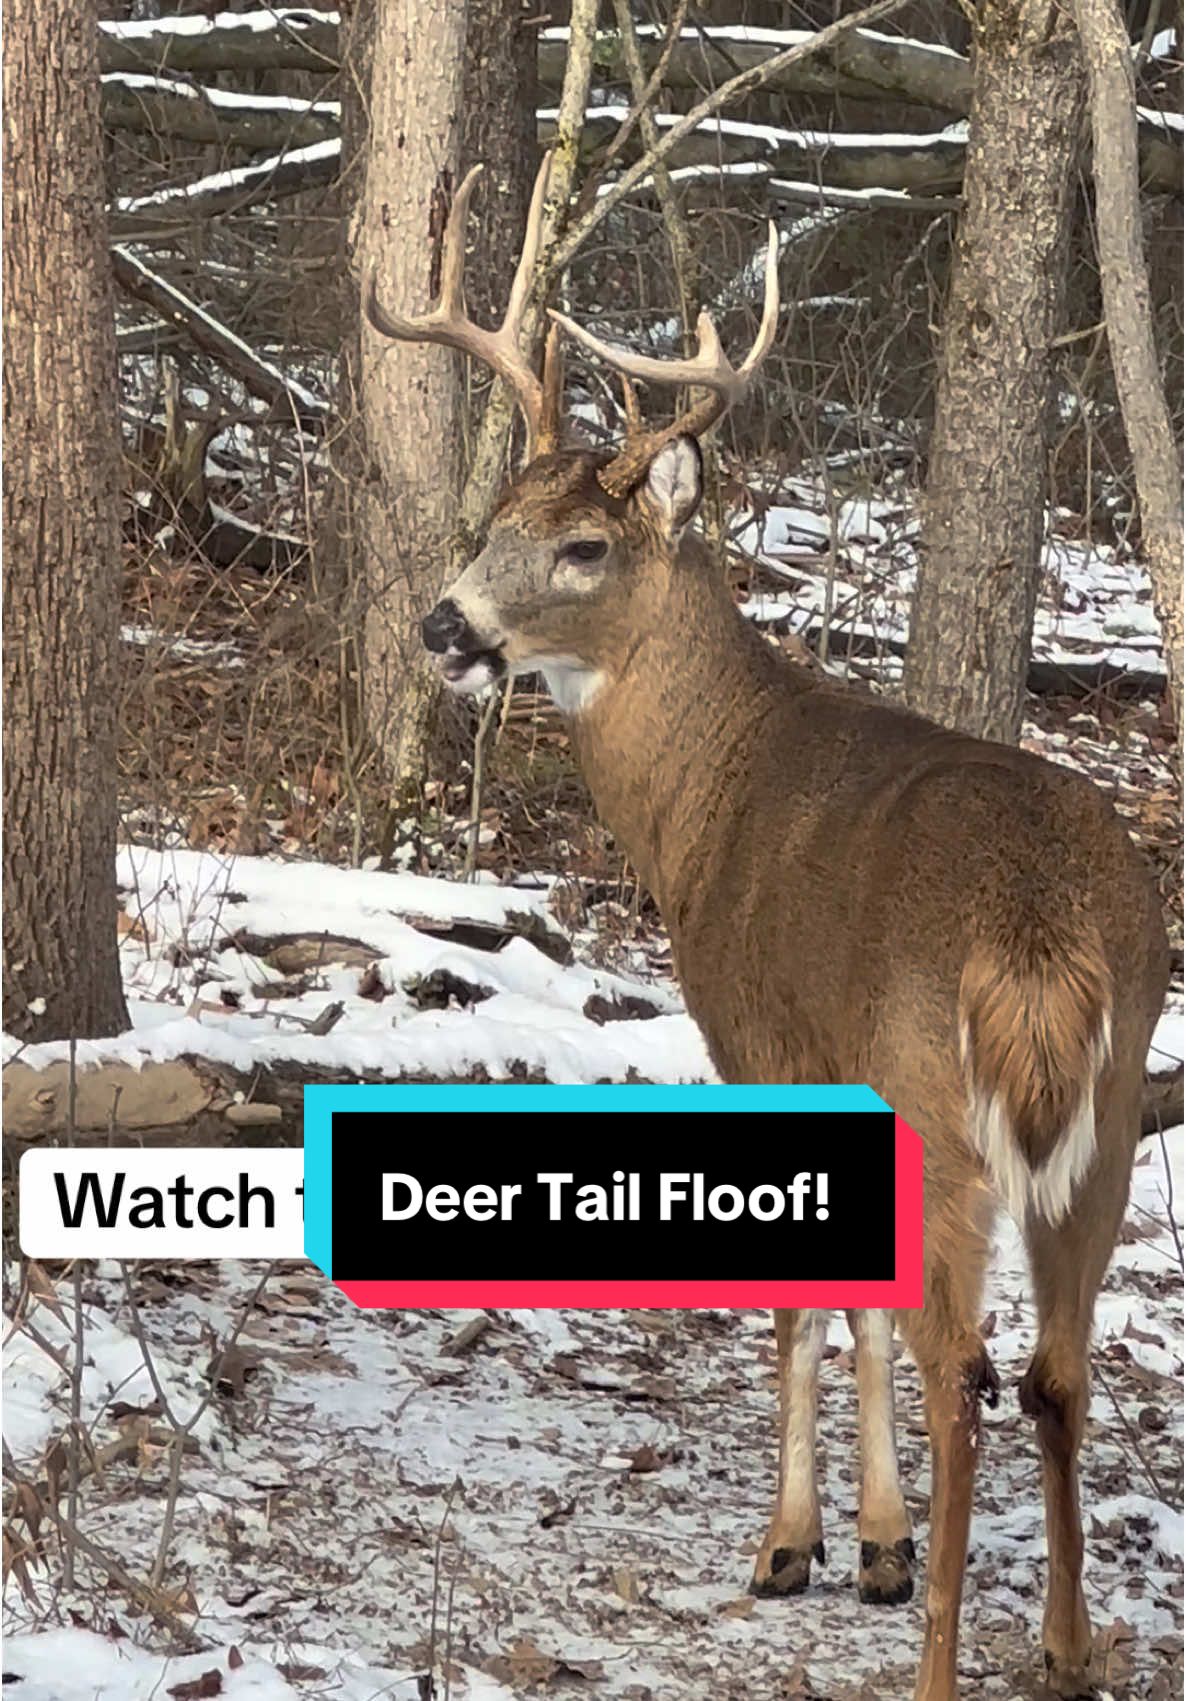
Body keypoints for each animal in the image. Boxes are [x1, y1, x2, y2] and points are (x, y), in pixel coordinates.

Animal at [367, 153, 1163, 1694]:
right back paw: (1065, 1642)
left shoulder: (766, 1041)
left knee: (967, 1371)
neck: (705, 801)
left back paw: (939, 1663)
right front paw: (872, 1545)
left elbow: (812, 1301)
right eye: (495, 520)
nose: (442, 628)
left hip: (940, 1106)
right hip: (1104, 1117)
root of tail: (1037, 934)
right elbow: (857, 1307)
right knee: (1054, 1371)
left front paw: (802, 1549)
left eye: (584, 545)